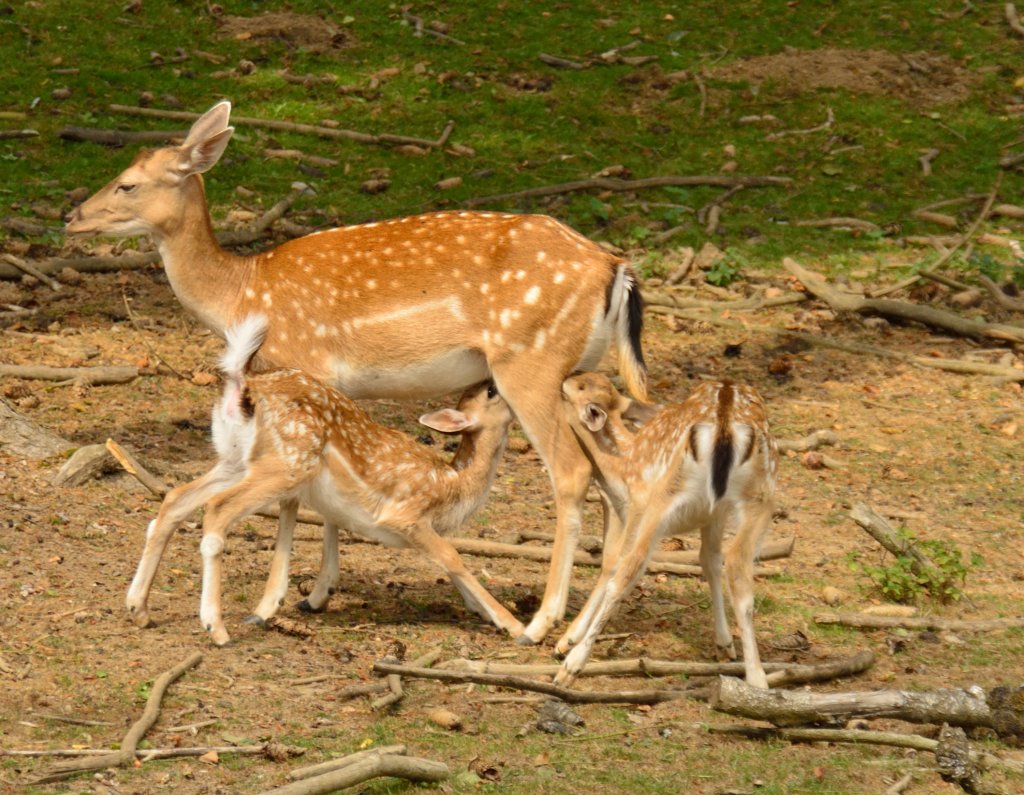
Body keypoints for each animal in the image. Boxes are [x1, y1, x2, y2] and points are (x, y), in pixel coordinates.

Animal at [66, 100, 647, 647]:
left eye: (128, 182)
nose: (72, 216)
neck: (242, 291)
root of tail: (615, 268)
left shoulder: (308, 364)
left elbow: (294, 496)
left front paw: (278, 600)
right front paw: (316, 593)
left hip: (529, 362)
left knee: (571, 473)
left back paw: (539, 622)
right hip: (577, 373)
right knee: (607, 479)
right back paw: (578, 624)